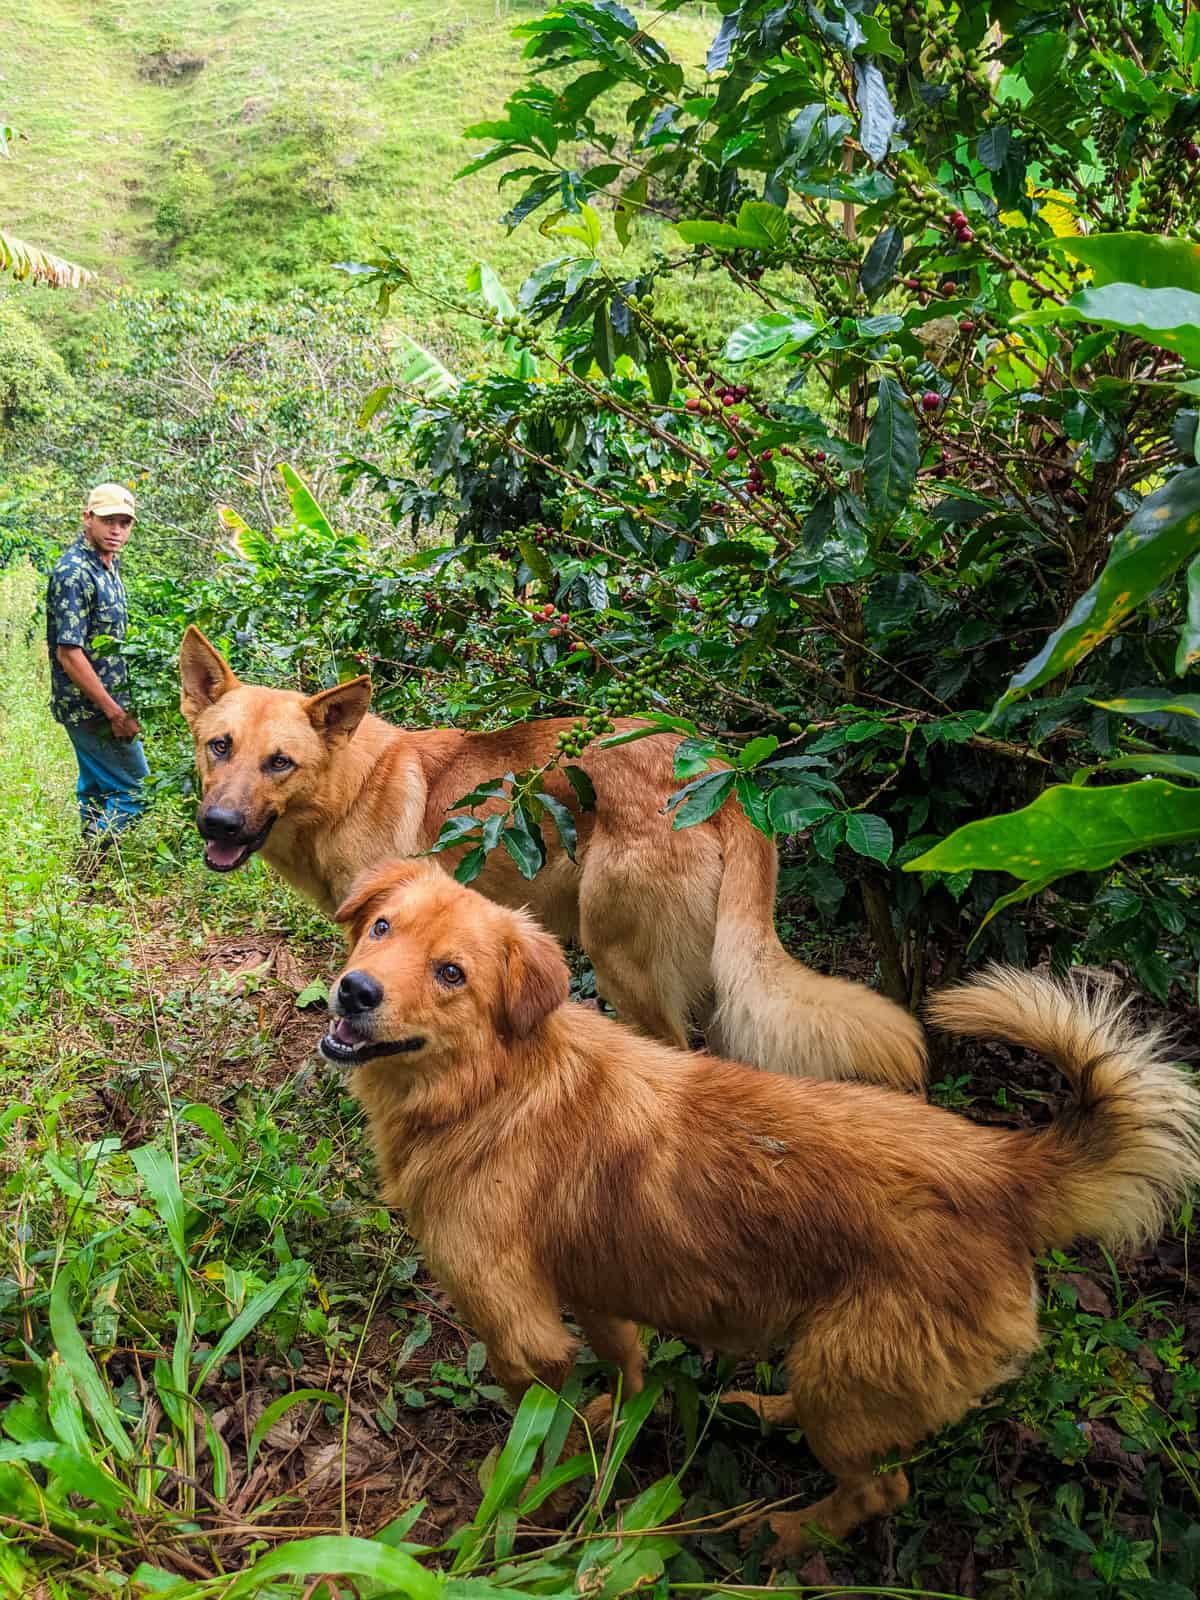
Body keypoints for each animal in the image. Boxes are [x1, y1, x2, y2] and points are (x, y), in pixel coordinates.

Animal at [180, 620, 928, 1088]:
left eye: (280, 762)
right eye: (219, 747)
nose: (217, 823)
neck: (348, 787)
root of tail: (720, 775)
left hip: (623, 966)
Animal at [320, 864, 1200, 1548]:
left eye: (452, 974)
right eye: (383, 928)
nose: (354, 991)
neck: (495, 1085)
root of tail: (999, 1166)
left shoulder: (520, 1335)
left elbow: (539, 1431)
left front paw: (539, 1503)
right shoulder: (597, 1291)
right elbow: (627, 1368)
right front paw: (616, 1426)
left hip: (848, 1381)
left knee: (881, 1489)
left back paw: (793, 1533)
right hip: (838, 1371)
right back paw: (769, 1411)